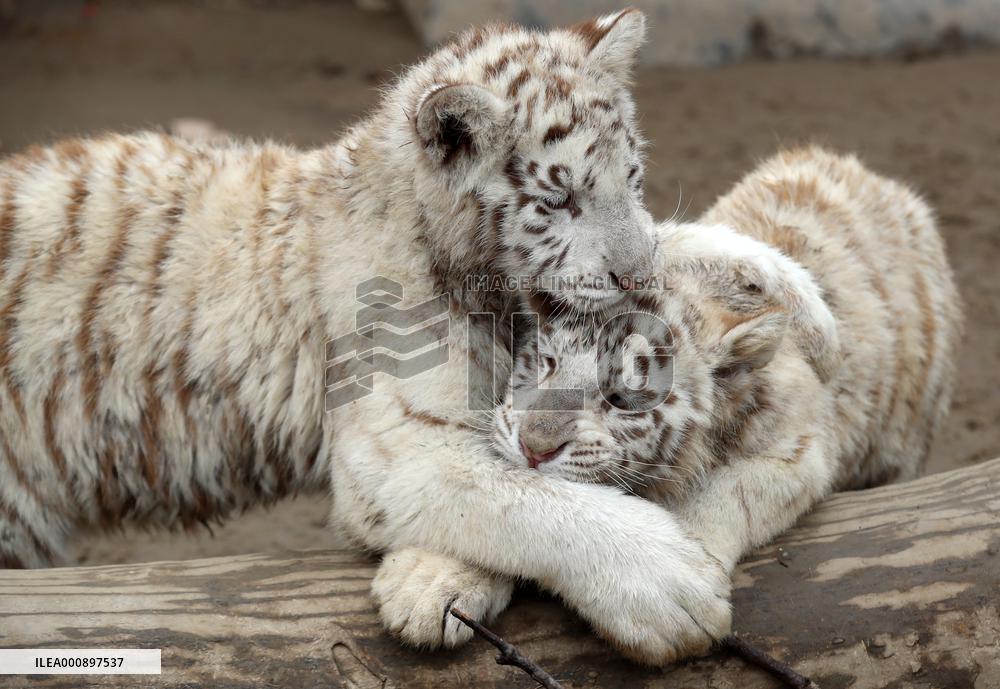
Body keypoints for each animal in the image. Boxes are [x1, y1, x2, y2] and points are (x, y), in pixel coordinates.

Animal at [372, 147, 962, 665]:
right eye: (544, 362)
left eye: (622, 398)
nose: (534, 448)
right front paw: (428, 578)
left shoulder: (796, 451)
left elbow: (717, 500)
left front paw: (676, 592)